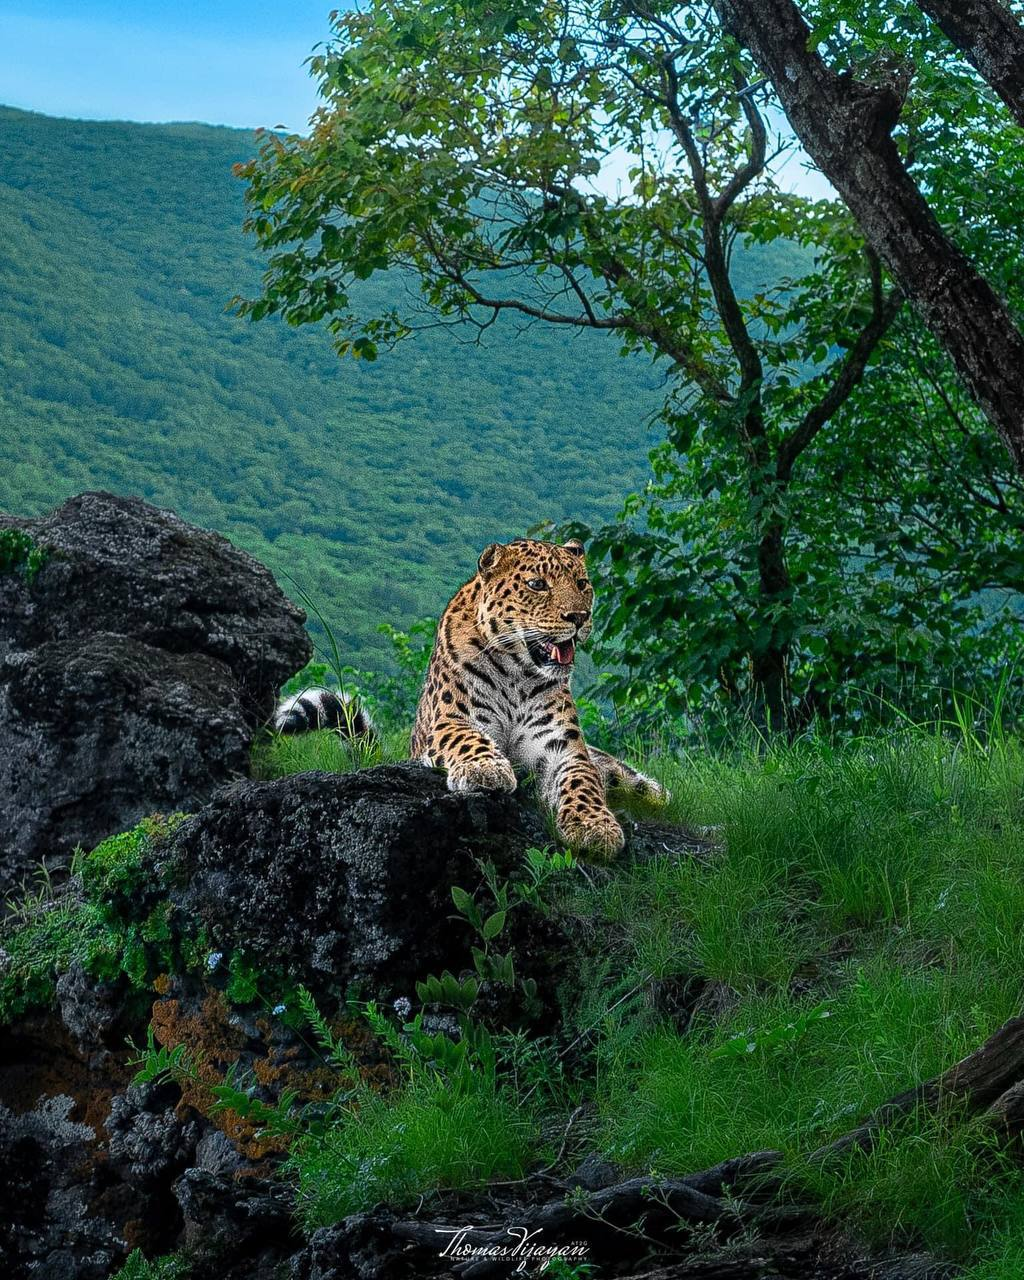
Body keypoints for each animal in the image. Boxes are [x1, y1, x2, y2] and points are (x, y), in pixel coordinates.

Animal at [412, 535, 665, 855]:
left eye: (582, 583)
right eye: (537, 584)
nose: (579, 617)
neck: (515, 673)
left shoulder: (561, 746)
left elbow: (582, 779)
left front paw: (594, 825)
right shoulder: (451, 719)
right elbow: (467, 739)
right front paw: (485, 768)